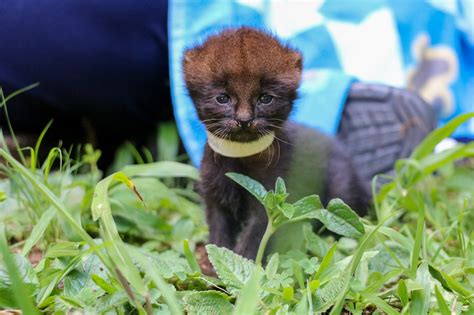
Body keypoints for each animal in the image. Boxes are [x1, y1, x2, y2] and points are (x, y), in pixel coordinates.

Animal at [183, 27, 368, 260]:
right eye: (222, 98)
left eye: (265, 98)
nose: (244, 119)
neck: (241, 162)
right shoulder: (215, 198)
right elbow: (218, 236)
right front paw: (212, 263)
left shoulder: (270, 199)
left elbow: (253, 241)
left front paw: (245, 266)